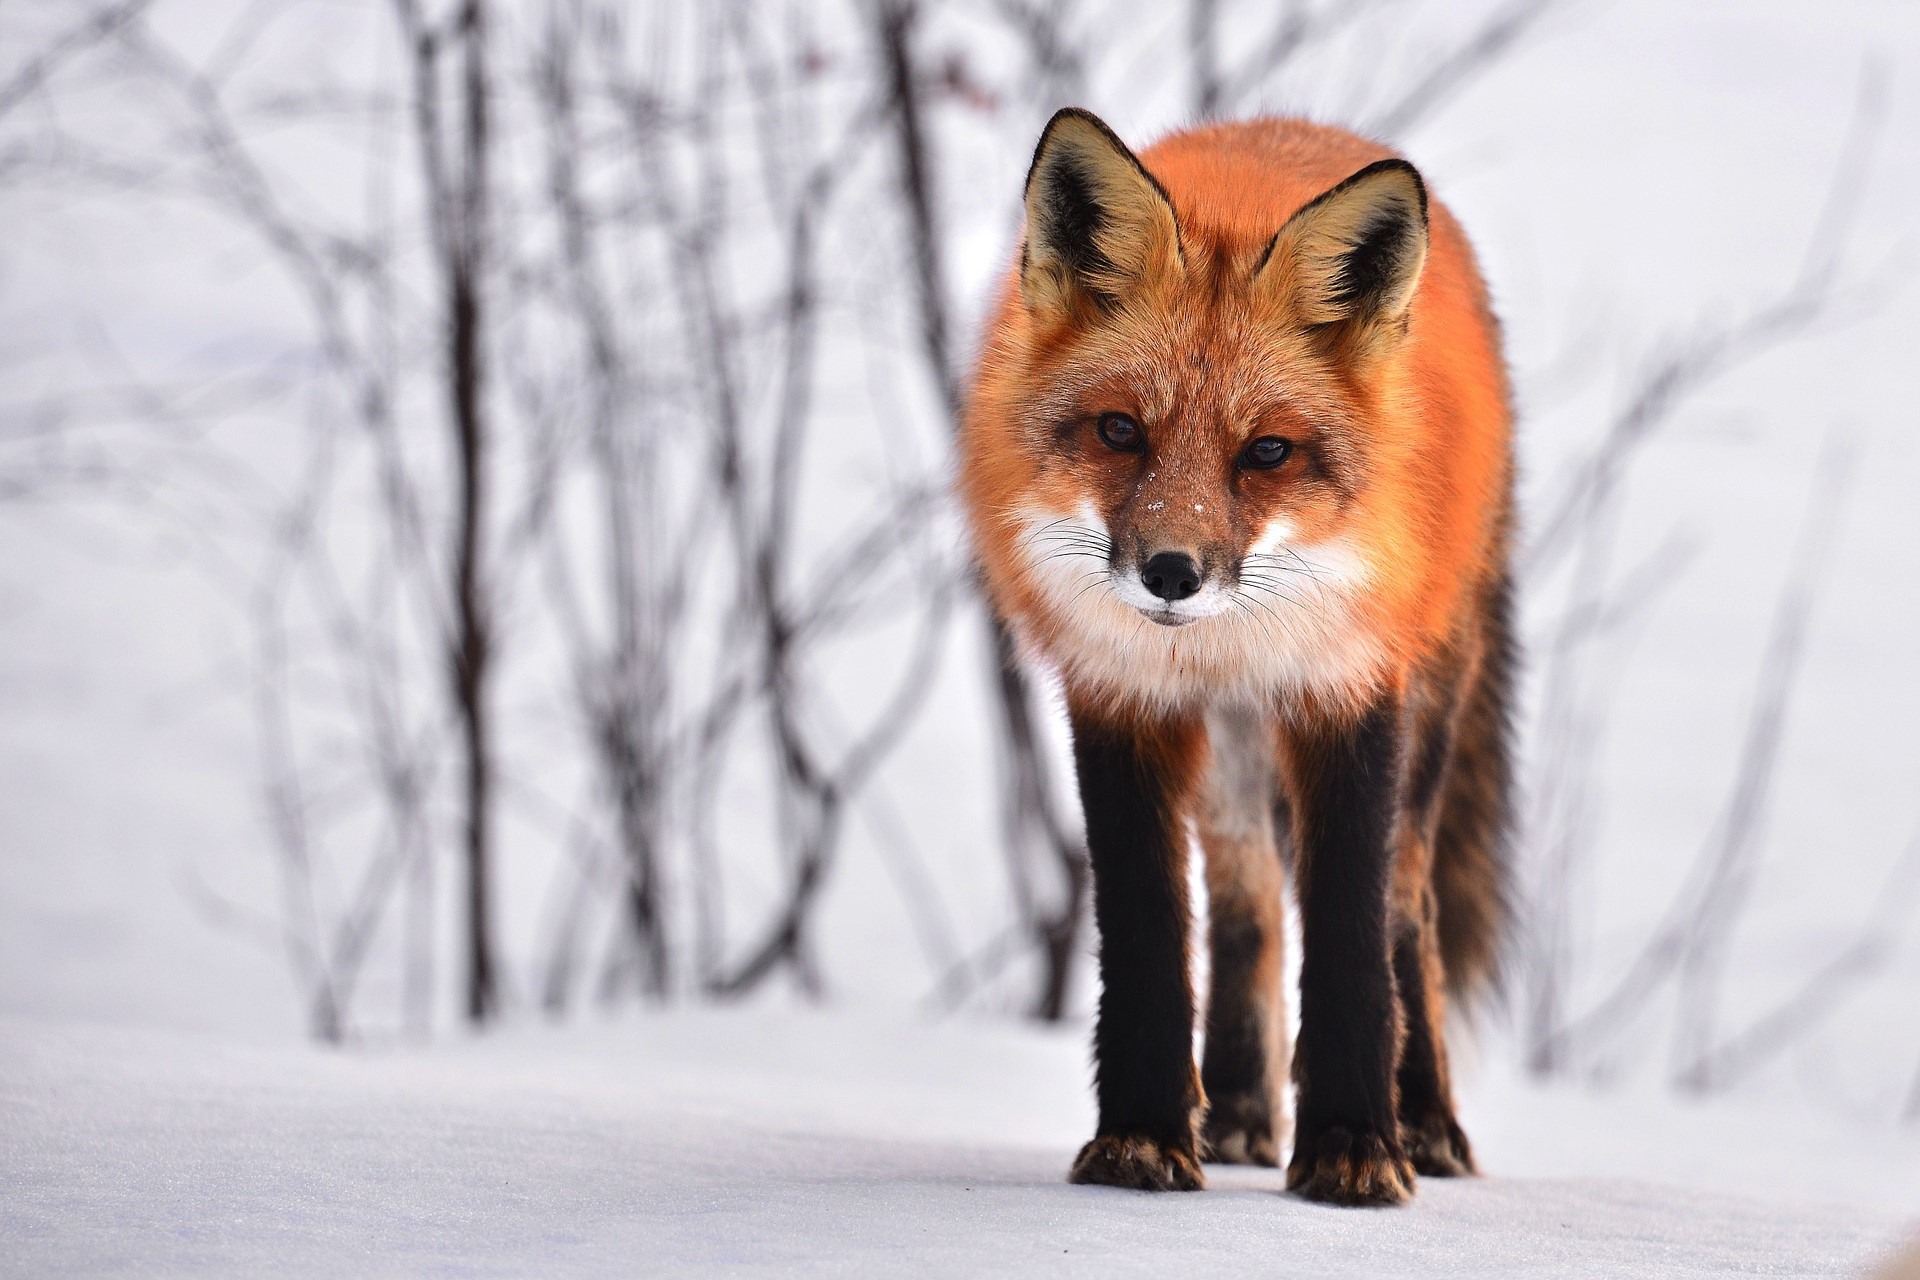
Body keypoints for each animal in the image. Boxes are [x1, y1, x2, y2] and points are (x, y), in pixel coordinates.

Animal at [960, 107, 1512, 1205]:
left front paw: (1354, 1144)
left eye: (1266, 452)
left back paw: (1426, 1120)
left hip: (1427, 709)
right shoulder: (1121, 699)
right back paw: (1242, 1110)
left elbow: (1350, 937)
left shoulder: (1349, 692)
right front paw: (1140, 1135)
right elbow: (1149, 935)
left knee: (1408, 909)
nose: (1172, 572)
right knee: (1247, 904)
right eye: (1119, 430)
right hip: (1230, 759)